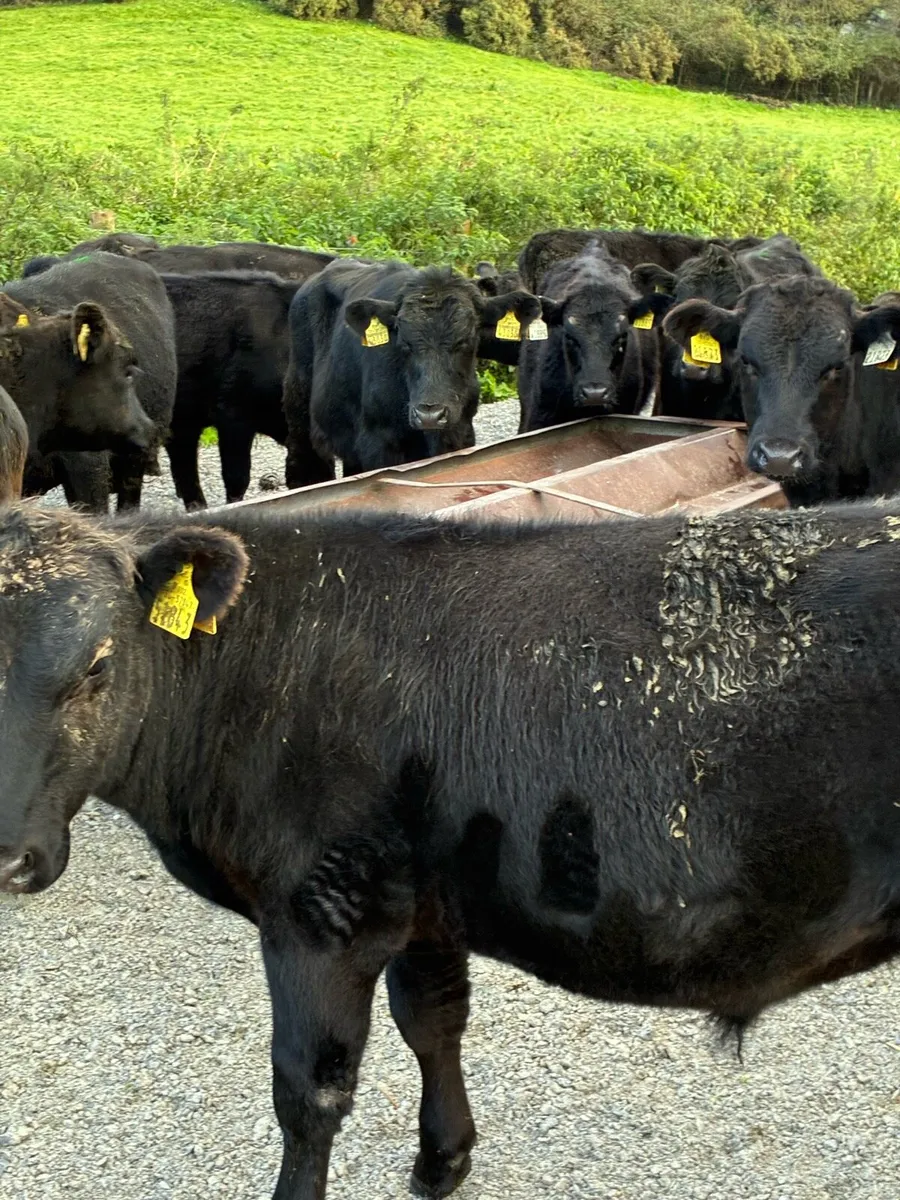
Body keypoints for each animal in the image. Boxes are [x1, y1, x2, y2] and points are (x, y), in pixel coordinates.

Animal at [4, 499, 900, 1198]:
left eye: (98, 663)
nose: (7, 855)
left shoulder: (321, 913)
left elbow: (309, 1091)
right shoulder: (423, 904)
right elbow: (432, 1021)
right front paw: (443, 1160)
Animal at [282, 259, 541, 486]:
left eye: (466, 341)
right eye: (405, 343)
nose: (430, 415)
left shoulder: (460, 433)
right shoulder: (379, 444)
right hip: (301, 420)